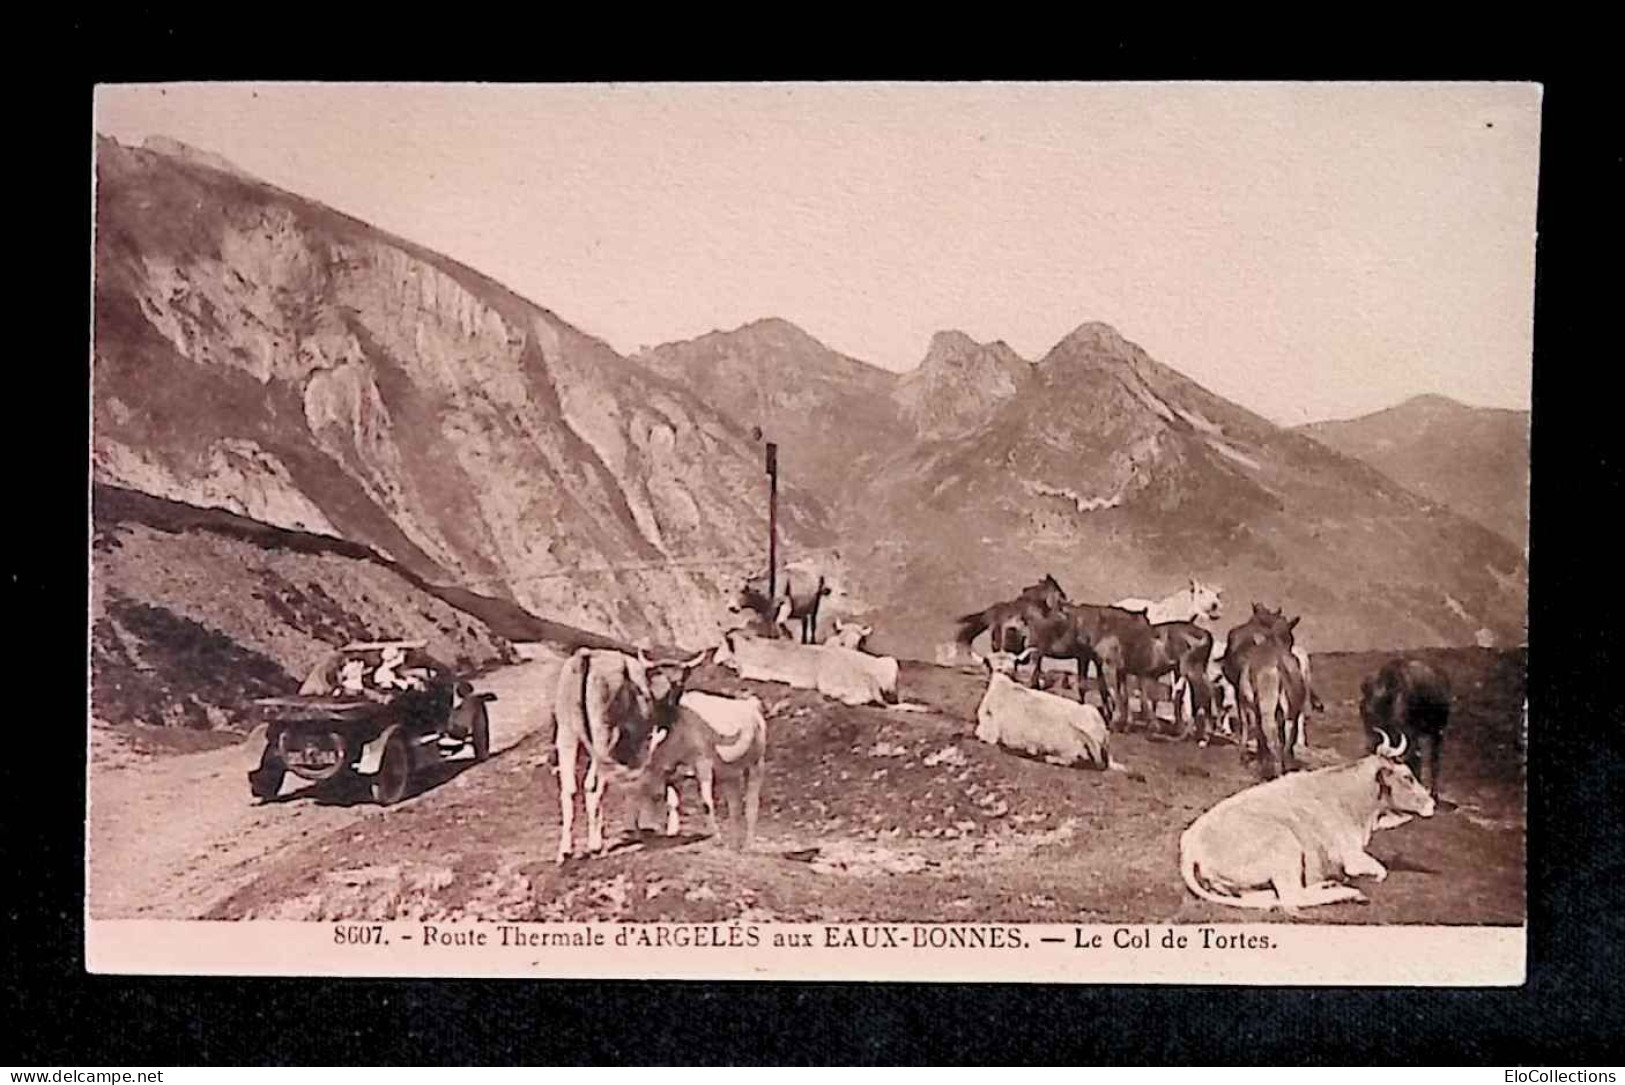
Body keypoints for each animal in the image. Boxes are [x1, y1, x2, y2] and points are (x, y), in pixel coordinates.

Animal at [549, 643, 702, 864]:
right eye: (679, 685)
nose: (672, 714)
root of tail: (586, 656)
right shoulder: (642, 740)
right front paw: (643, 826)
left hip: (566, 730)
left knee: (569, 788)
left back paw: (565, 851)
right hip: (603, 734)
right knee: (593, 785)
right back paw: (595, 845)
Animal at [633, 691, 767, 851]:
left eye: (657, 797)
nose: (644, 828)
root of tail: (752, 705)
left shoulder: (703, 764)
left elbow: (706, 803)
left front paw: (717, 839)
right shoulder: (673, 772)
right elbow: (673, 801)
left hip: (756, 765)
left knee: (751, 803)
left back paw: (748, 844)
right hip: (729, 775)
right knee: (734, 806)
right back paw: (734, 845)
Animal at [1183, 724, 1436, 909]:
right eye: (1407, 777)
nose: (1432, 803)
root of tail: (1190, 844)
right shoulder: (1351, 856)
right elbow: (1381, 870)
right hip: (1284, 844)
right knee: (1292, 896)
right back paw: (1348, 892)